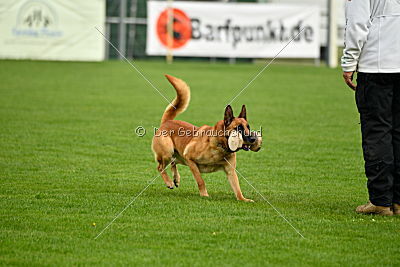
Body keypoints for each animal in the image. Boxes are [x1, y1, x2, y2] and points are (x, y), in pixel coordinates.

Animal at [151, 74, 262, 202]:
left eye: (248, 127)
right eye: (238, 128)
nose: (253, 139)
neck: (219, 146)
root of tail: (167, 121)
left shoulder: (230, 172)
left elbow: (237, 189)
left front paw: (243, 199)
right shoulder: (189, 159)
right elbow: (200, 180)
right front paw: (204, 195)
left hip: (177, 155)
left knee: (173, 162)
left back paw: (176, 179)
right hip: (168, 151)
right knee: (160, 167)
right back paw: (169, 182)